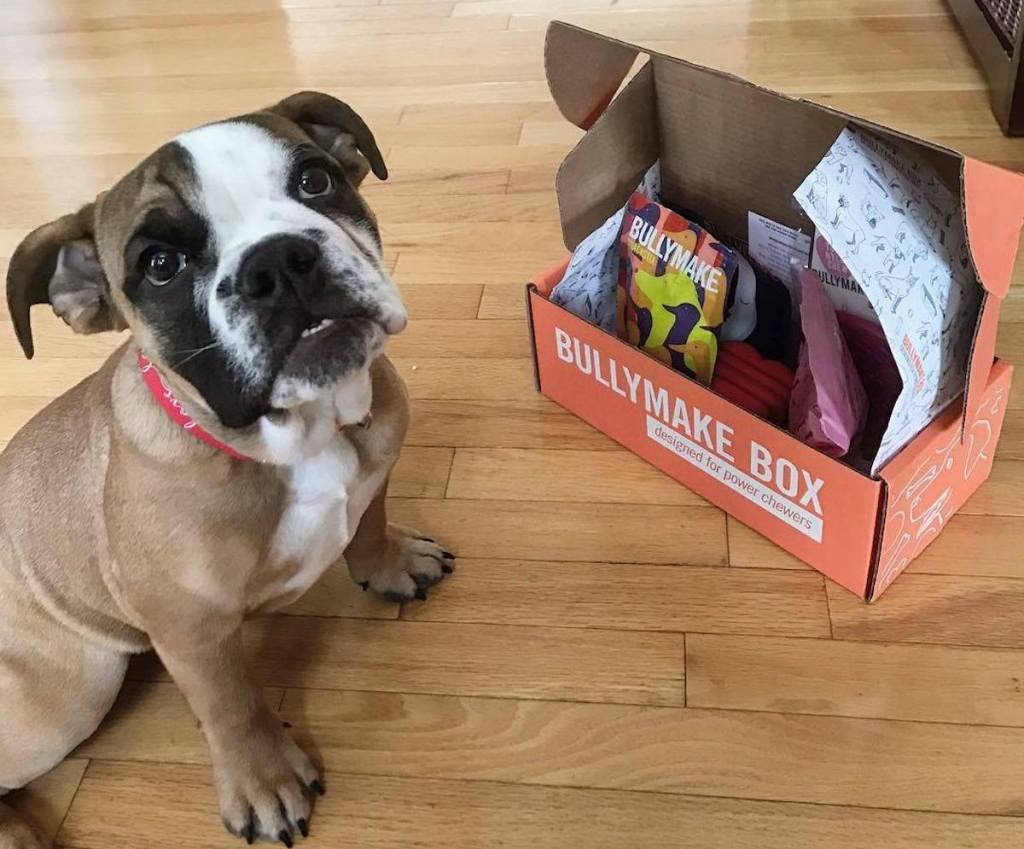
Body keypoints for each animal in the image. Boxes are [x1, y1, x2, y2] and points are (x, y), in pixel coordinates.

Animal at [0, 92, 456, 847]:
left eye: (315, 180)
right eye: (160, 264)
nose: (279, 259)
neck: (302, 435)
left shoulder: (376, 466)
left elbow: (368, 520)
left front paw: (390, 562)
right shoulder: (192, 632)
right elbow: (232, 706)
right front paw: (264, 781)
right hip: (71, 694)